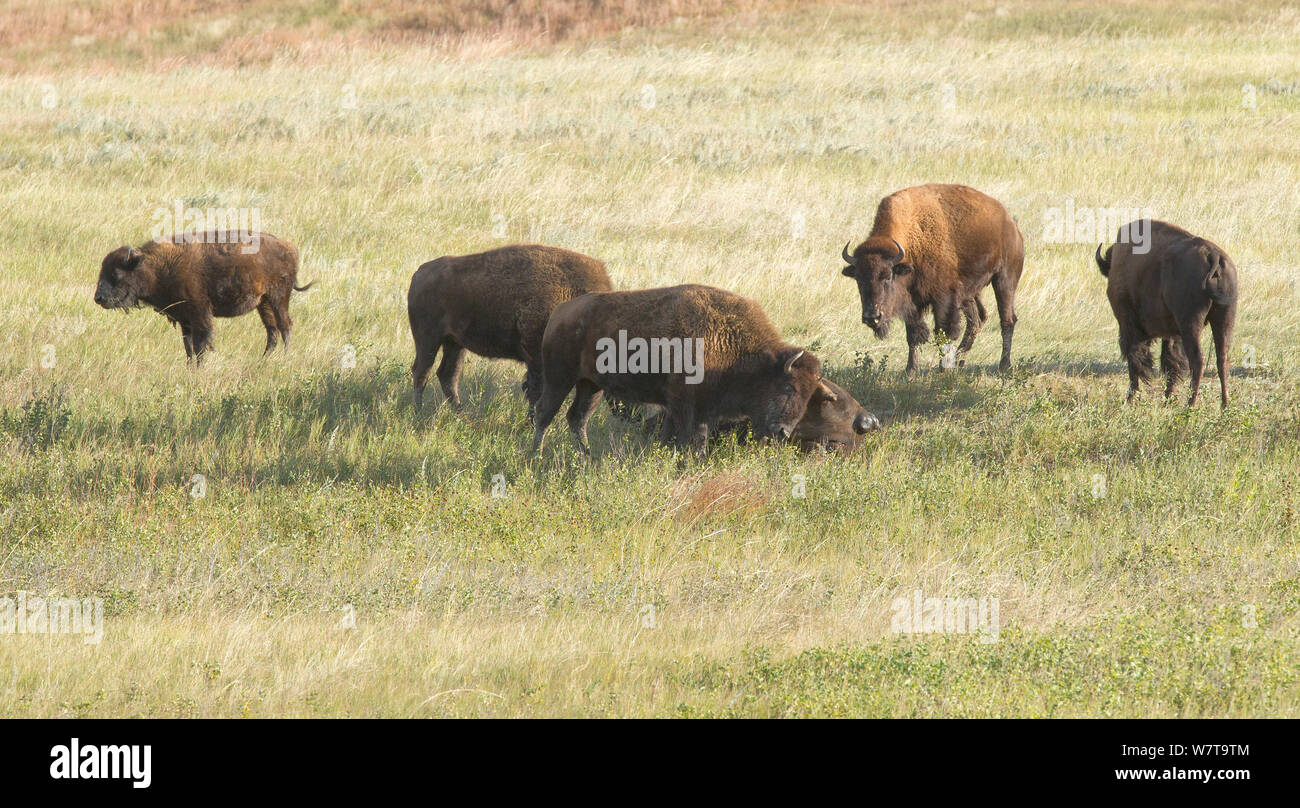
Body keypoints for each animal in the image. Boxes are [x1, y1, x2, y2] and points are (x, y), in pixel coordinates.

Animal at [92, 232, 310, 363]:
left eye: (116, 274)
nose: (98, 298)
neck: (157, 264)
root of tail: (289, 247)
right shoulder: (185, 320)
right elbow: (188, 346)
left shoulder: (199, 314)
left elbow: (200, 344)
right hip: (263, 302)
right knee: (272, 330)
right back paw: (263, 360)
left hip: (278, 298)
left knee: (285, 326)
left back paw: (285, 356)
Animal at [403, 244, 611, 415]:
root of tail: (420, 271)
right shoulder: (536, 357)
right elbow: (535, 391)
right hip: (428, 339)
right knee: (422, 371)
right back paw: (418, 413)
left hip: (454, 343)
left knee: (447, 374)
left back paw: (461, 414)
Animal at [530, 287, 821, 459]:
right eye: (788, 387)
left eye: (809, 397)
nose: (783, 432)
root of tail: (560, 312)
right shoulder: (686, 406)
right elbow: (687, 439)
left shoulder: (696, 408)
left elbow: (683, 438)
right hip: (560, 379)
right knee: (545, 413)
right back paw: (535, 457)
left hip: (591, 385)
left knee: (577, 417)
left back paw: (586, 457)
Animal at [842, 183, 1024, 374]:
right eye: (858, 279)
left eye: (888, 276)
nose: (872, 317)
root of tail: (1012, 226)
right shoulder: (913, 303)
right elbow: (913, 335)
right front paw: (911, 370)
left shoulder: (944, 299)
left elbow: (943, 333)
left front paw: (942, 369)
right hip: (970, 293)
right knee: (977, 320)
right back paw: (960, 361)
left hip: (1004, 280)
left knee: (1007, 320)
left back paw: (1004, 365)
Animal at [1097, 219, 1237, 407]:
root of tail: (1213, 255)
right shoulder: (1171, 333)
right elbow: (1171, 362)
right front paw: (1167, 399)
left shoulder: (1128, 324)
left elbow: (1135, 359)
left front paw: (1131, 398)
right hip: (1224, 319)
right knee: (1222, 359)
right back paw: (1224, 405)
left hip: (1191, 324)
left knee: (1197, 360)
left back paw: (1190, 404)